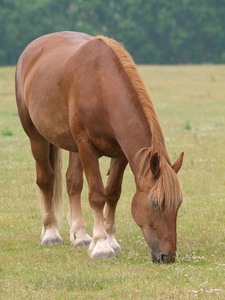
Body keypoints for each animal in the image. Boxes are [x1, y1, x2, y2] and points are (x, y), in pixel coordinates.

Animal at [15, 31, 184, 264]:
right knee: (46, 180)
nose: (167, 256)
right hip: (37, 137)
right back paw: (51, 234)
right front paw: (102, 247)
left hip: (72, 146)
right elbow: (97, 195)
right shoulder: (86, 146)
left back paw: (80, 235)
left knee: (73, 183)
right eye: (156, 204)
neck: (102, 87)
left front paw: (110, 240)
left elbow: (112, 194)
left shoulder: (120, 153)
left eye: (178, 205)